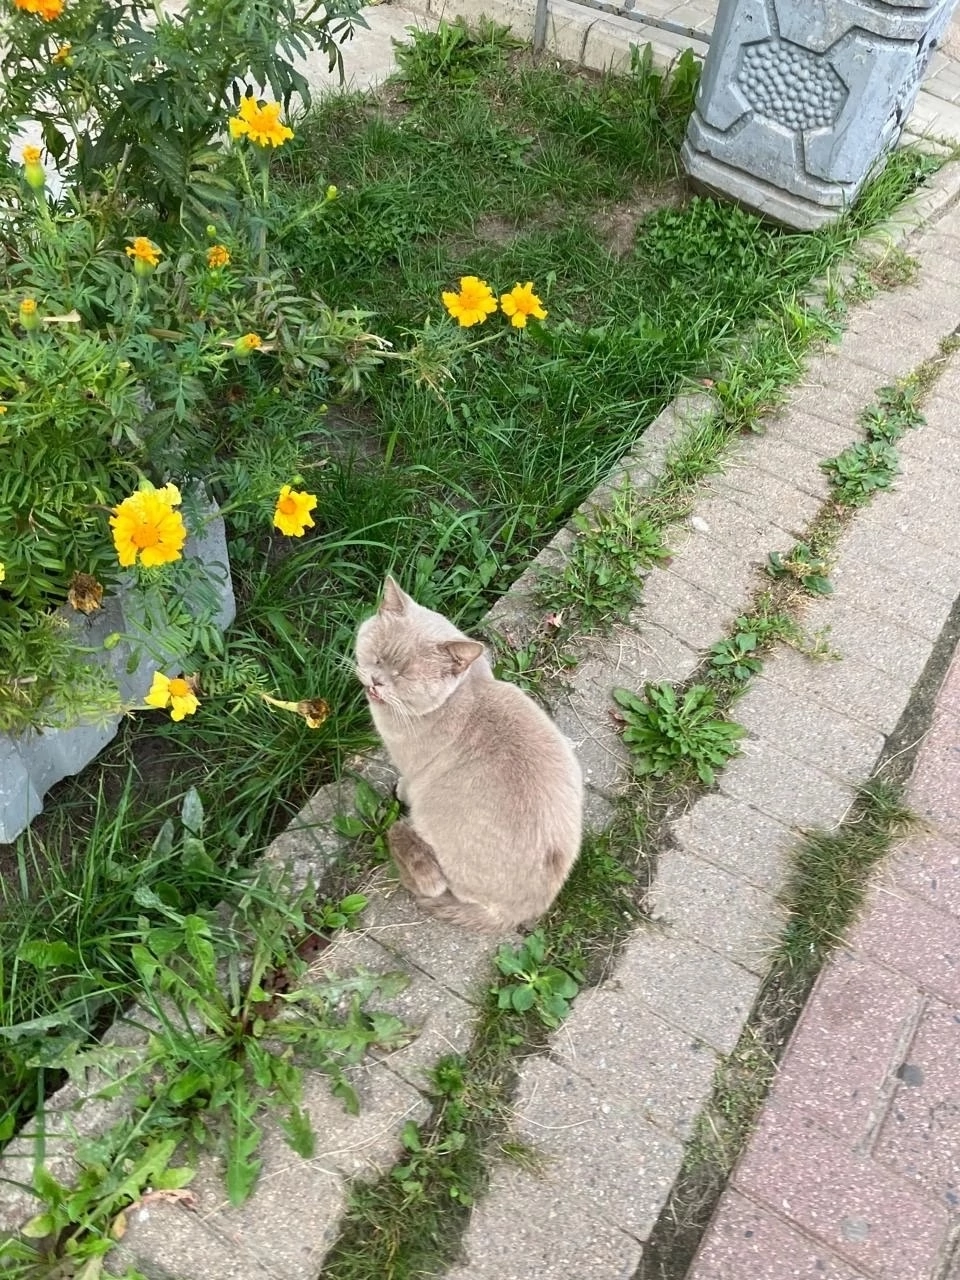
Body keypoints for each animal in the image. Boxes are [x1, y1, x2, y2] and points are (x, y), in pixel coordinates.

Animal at [355, 581, 586, 931]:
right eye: (377, 656)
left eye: (404, 675)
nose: (377, 681)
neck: (470, 687)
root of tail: (517, 913)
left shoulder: (411, 767)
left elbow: (407, 781)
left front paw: (400, 790)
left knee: (435, 883)